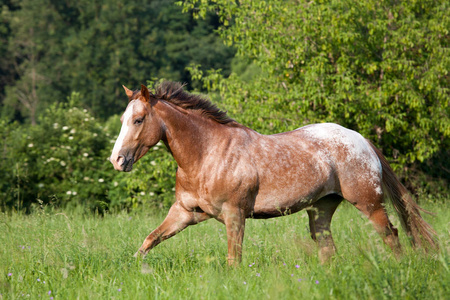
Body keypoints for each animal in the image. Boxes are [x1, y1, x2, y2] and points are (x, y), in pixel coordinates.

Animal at [109, 81, 436, 264]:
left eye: (138, 120)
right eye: (123, 118)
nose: (117, 160)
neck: (206, 155)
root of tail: (363, 140)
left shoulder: (234, 214)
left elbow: (234, 259)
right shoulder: (184, 213)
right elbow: (149, 241)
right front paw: (133, 270)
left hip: (369, 203)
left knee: (391, 235)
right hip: (321, 209)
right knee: (327, 248)